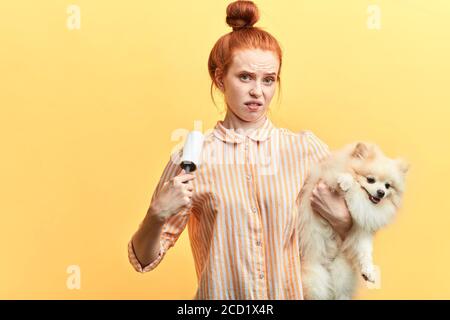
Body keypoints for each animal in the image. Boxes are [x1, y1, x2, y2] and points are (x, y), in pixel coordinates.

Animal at [298, 141, 410, 298]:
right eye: (370, 180)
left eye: (388, 186)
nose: (381, 192)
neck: (361, 199)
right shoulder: (326, 179)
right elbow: (343, 179)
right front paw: (345, 182)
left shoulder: (361, 230)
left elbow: (365, 251)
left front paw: (368, 270)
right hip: (315, 277)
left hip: (341, 273)